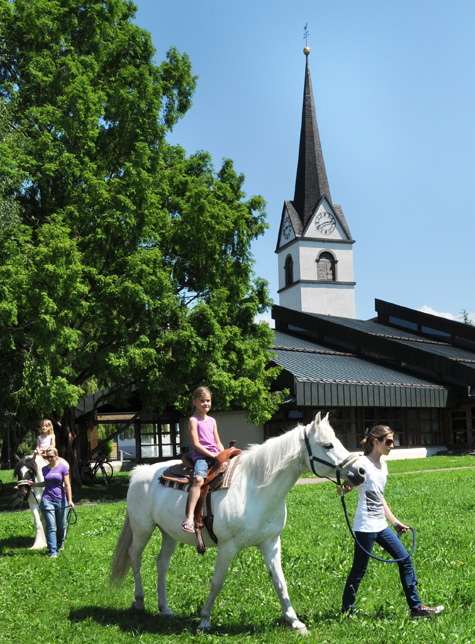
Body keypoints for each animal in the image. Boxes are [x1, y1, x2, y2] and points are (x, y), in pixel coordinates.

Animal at [109, 412, 366, 632]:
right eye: (328, 445)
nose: (361, 472)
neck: (253, 488)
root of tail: (139, 473)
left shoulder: (271, 543)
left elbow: (280, 582)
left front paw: (294, 621)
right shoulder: (227, 546)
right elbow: (217, 582)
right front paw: (204, 620)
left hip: (169, 534)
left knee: (161, 563)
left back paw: (164, 608)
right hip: (142, 529)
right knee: (135, 557)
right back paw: (139, 602)